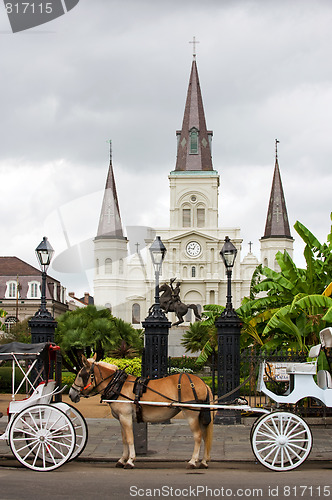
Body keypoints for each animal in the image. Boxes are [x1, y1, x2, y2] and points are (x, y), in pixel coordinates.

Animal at [69, 356, 214, 468]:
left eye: (81, 375)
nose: (71, 393)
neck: (118, 385)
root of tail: (203, 383)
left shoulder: (125, 417)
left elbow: (130, 438)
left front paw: (130, 460)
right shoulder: (121, 419)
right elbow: (124, 439)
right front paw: (122, 459)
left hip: (191, 414)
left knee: (198, 436)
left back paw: (193, 461)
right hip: (200, 415)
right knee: (205, 435)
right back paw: (204, 462)